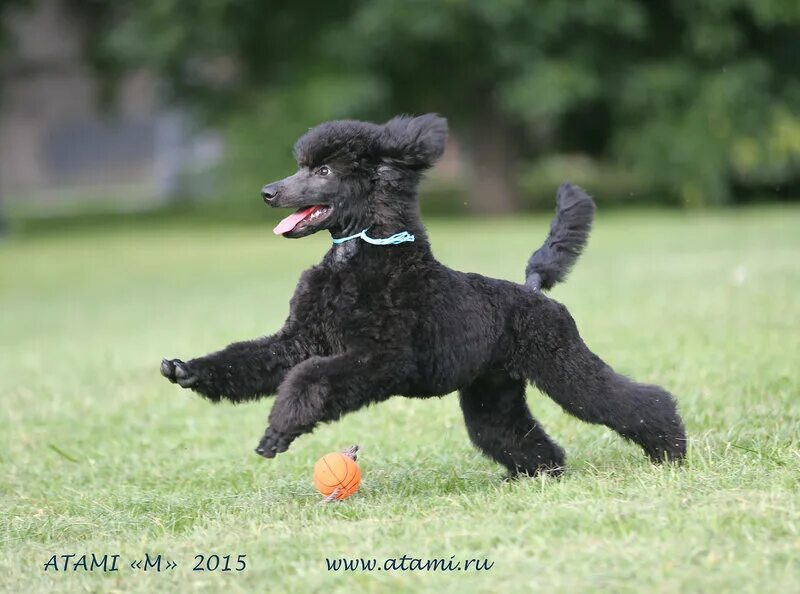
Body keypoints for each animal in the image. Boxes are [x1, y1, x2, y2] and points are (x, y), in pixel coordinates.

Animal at [162, 114, 688, 476]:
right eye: (302, 166)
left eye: (325, 171)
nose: (269, 192)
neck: (363, 254)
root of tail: (532, 290)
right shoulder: (301, 339)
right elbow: (252, 359)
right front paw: (188, 370)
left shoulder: (382, 358)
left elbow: (309, 380)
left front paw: (279, 431)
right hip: (492, 390)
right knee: (510, 433)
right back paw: (542, 473)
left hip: (563, 364)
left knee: (632, 400)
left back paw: (671, 448)